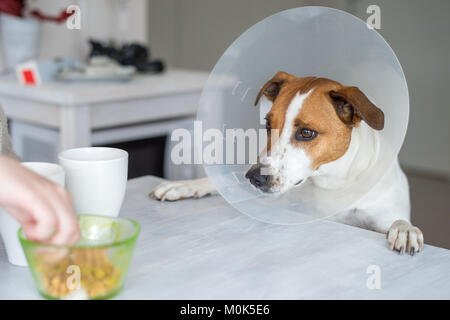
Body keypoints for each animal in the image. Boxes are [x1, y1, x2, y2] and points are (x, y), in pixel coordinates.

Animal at [150, 72, 422, 255]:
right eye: (268, 124)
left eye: (306, 133)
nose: (254, 177)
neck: (331, 182)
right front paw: (184, 185)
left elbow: (399, 221)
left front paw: (405, 230)